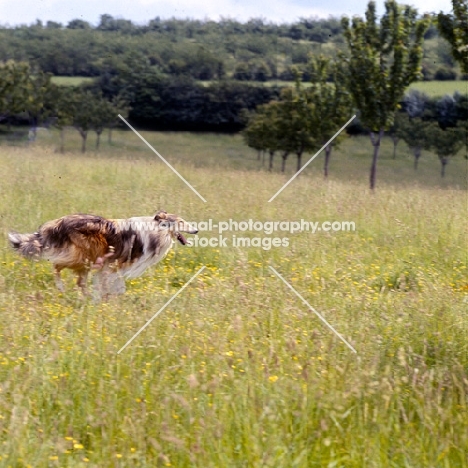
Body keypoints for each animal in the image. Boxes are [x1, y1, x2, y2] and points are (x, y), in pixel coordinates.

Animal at [7, 209, 197, 296]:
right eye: (181, 221)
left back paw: (85, 296)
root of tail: (57, 223)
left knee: (78, 281)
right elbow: (114, 286)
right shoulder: (113, 266)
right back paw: (62, 288)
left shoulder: (110, 267)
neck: (157, 230)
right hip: (83, 256)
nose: (196, 230)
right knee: (57, 266)